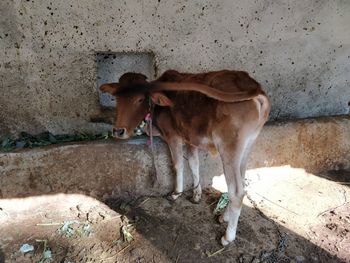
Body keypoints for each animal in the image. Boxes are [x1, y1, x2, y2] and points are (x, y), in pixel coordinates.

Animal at [100, 70, 270, 248]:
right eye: (116, 98)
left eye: (139, 99)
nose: (118, 131)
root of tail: (255, 87)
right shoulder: (190, 139)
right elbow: (194, 164)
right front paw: (196, 194)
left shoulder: (173, 136)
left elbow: (178, 164)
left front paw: (176, 193)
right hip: (247, 147)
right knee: (241, 182)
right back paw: (225, 216)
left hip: (229, 148)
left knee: (236, 191)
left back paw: (227, 236)